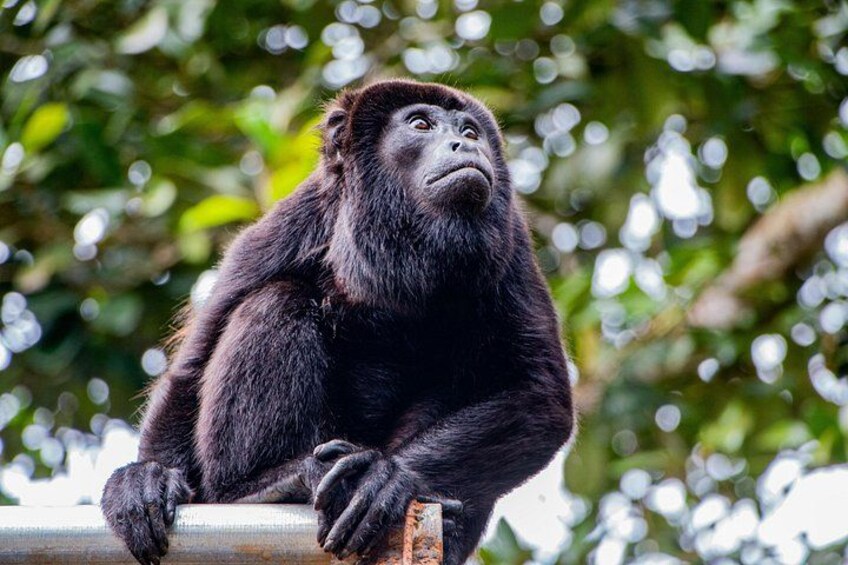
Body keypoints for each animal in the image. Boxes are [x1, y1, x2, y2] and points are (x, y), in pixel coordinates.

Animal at [101, 79, 574, 565]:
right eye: (421, 125)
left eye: (469, 130)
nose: (466, 145)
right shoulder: (296, 222)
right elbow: (192, 367)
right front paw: (146, 478)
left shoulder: (512, 243)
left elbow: (538, 394)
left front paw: (387, 477)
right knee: (275, 300)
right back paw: (259, 488)